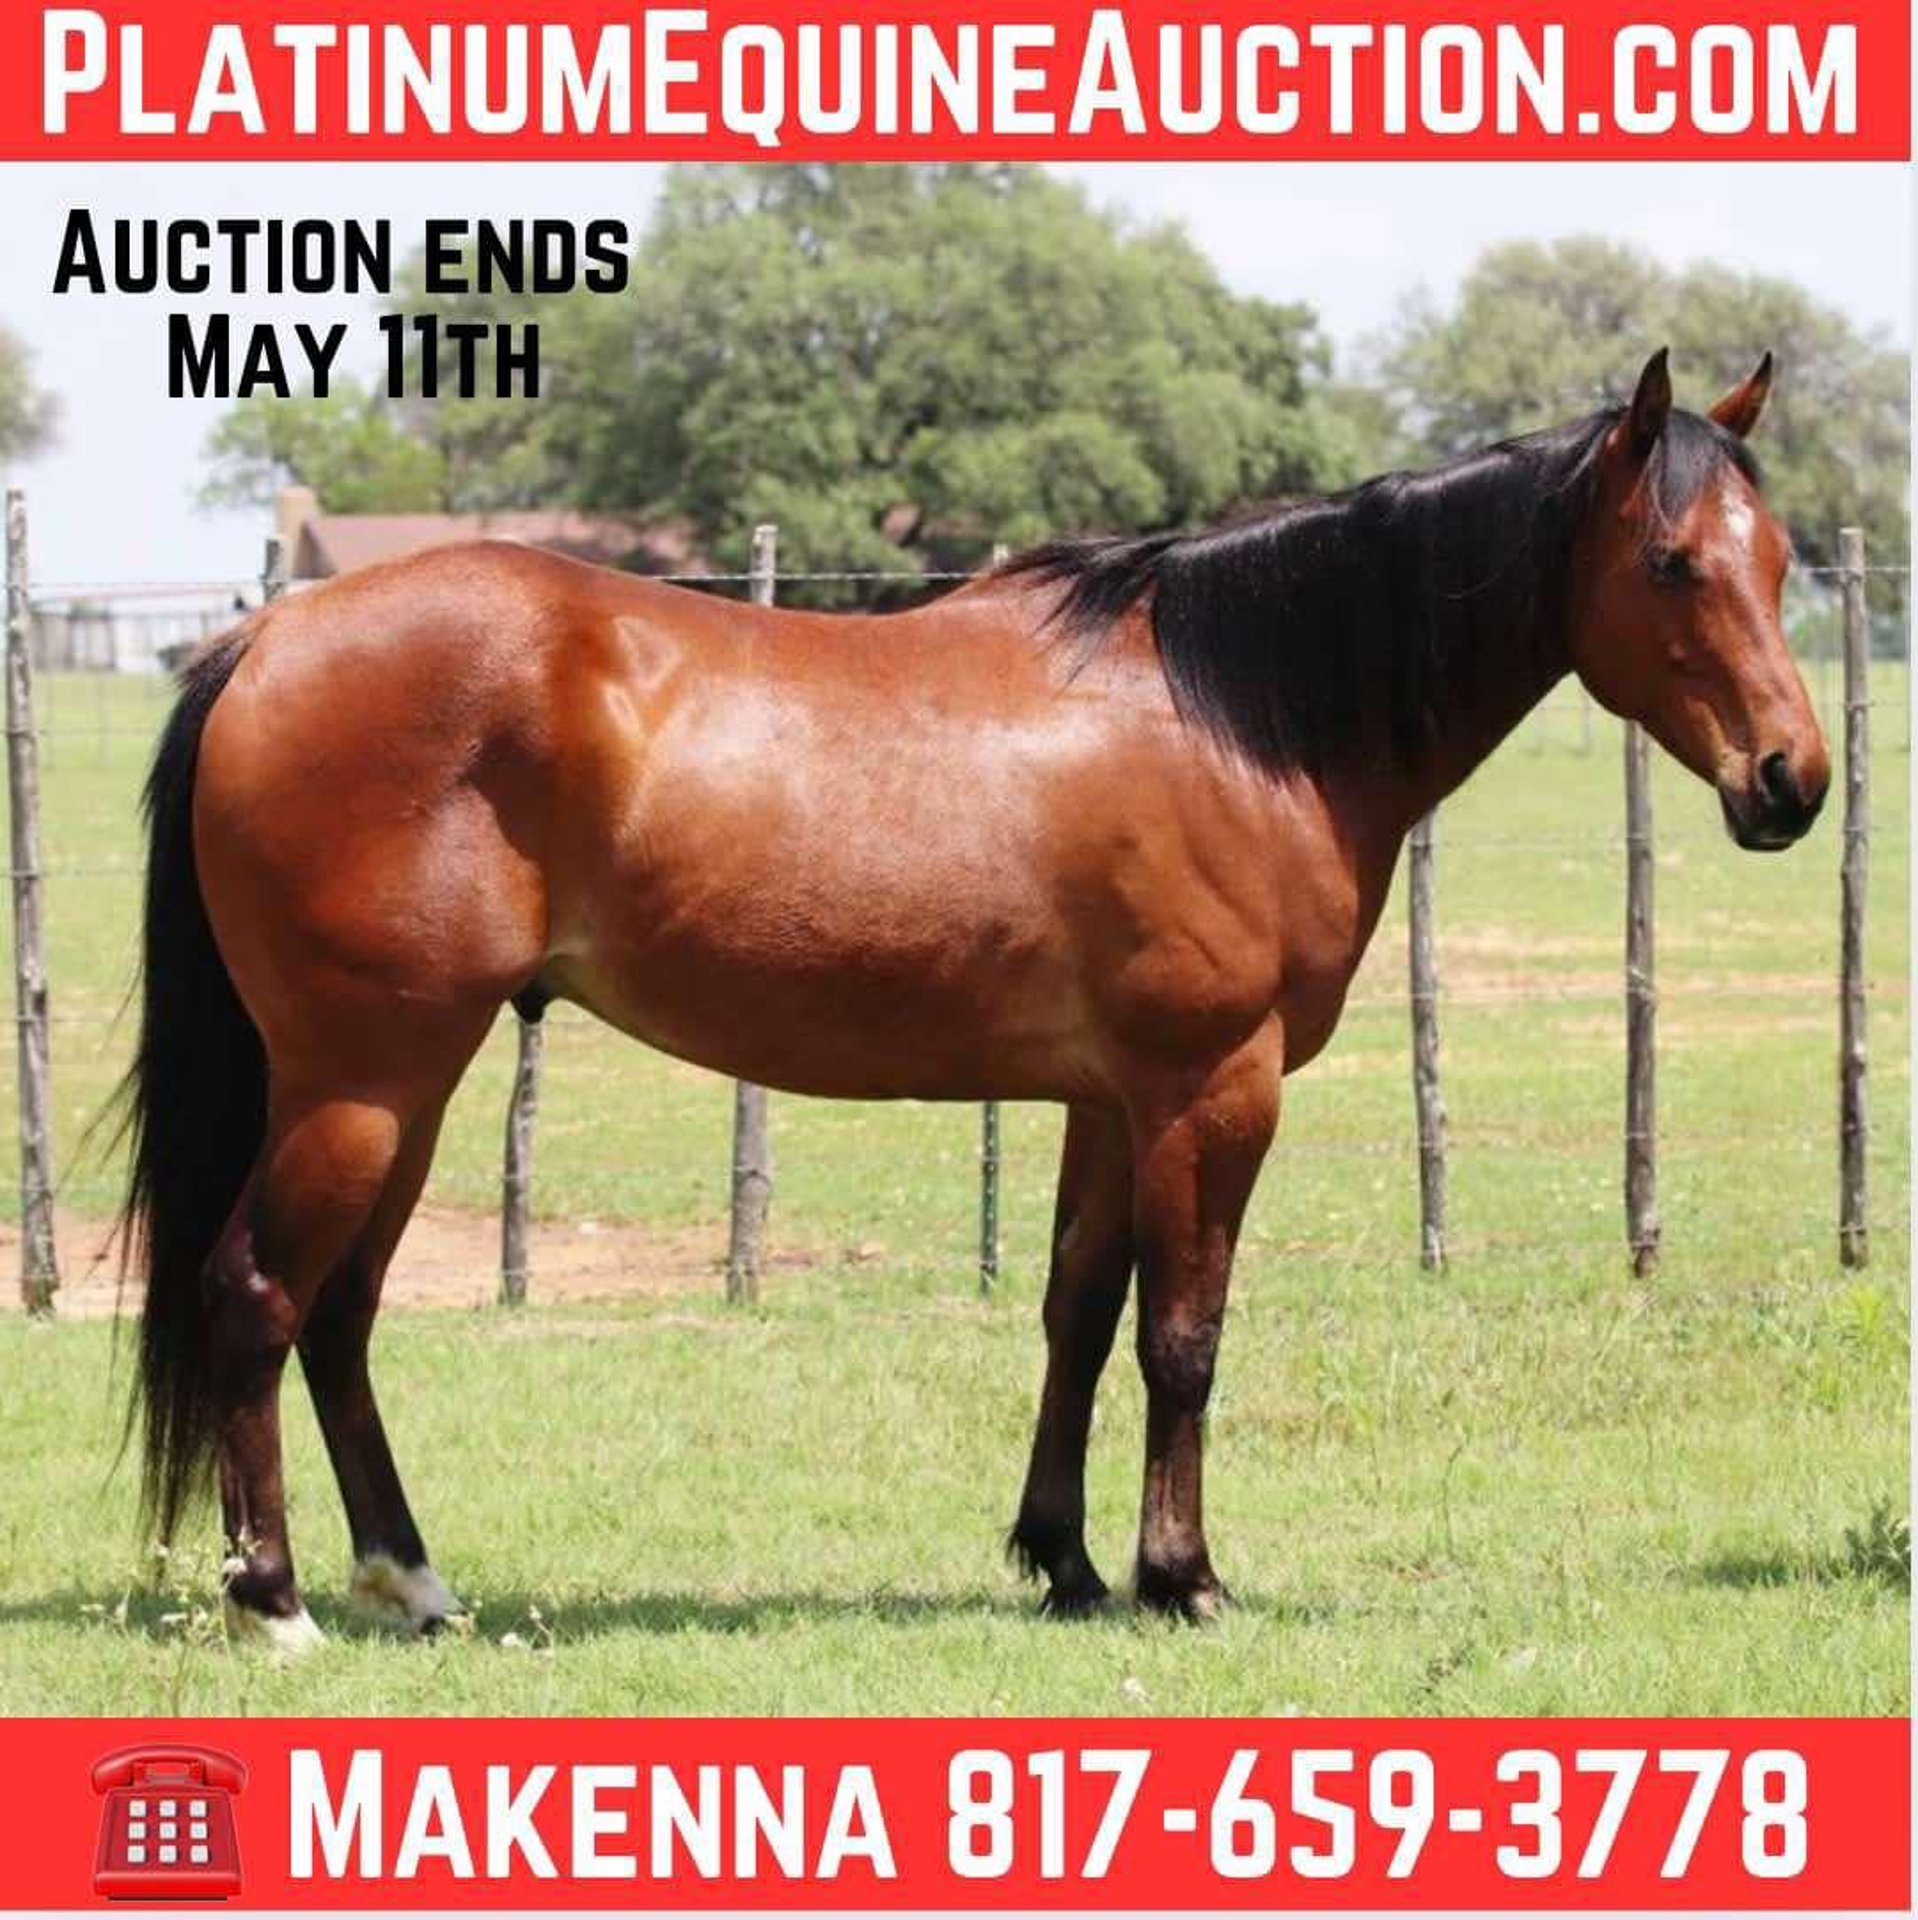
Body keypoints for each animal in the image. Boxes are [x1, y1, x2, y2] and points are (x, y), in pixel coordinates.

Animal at [120, 348, 1826, 1651]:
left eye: (1781, 561)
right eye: (1670, 563)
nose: (1788, 781)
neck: (1241, 715)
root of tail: (270, 635)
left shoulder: (1108, 1099)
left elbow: (1079, 1313)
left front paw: (1062, 1561)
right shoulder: (1212, 1089)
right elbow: (1183, 1335)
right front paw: (1182, 1577)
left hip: (405, 1082)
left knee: (339, 1316)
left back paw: (413, 1586)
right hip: (367, 1076)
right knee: (255, 1295)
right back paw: (276, 1601)